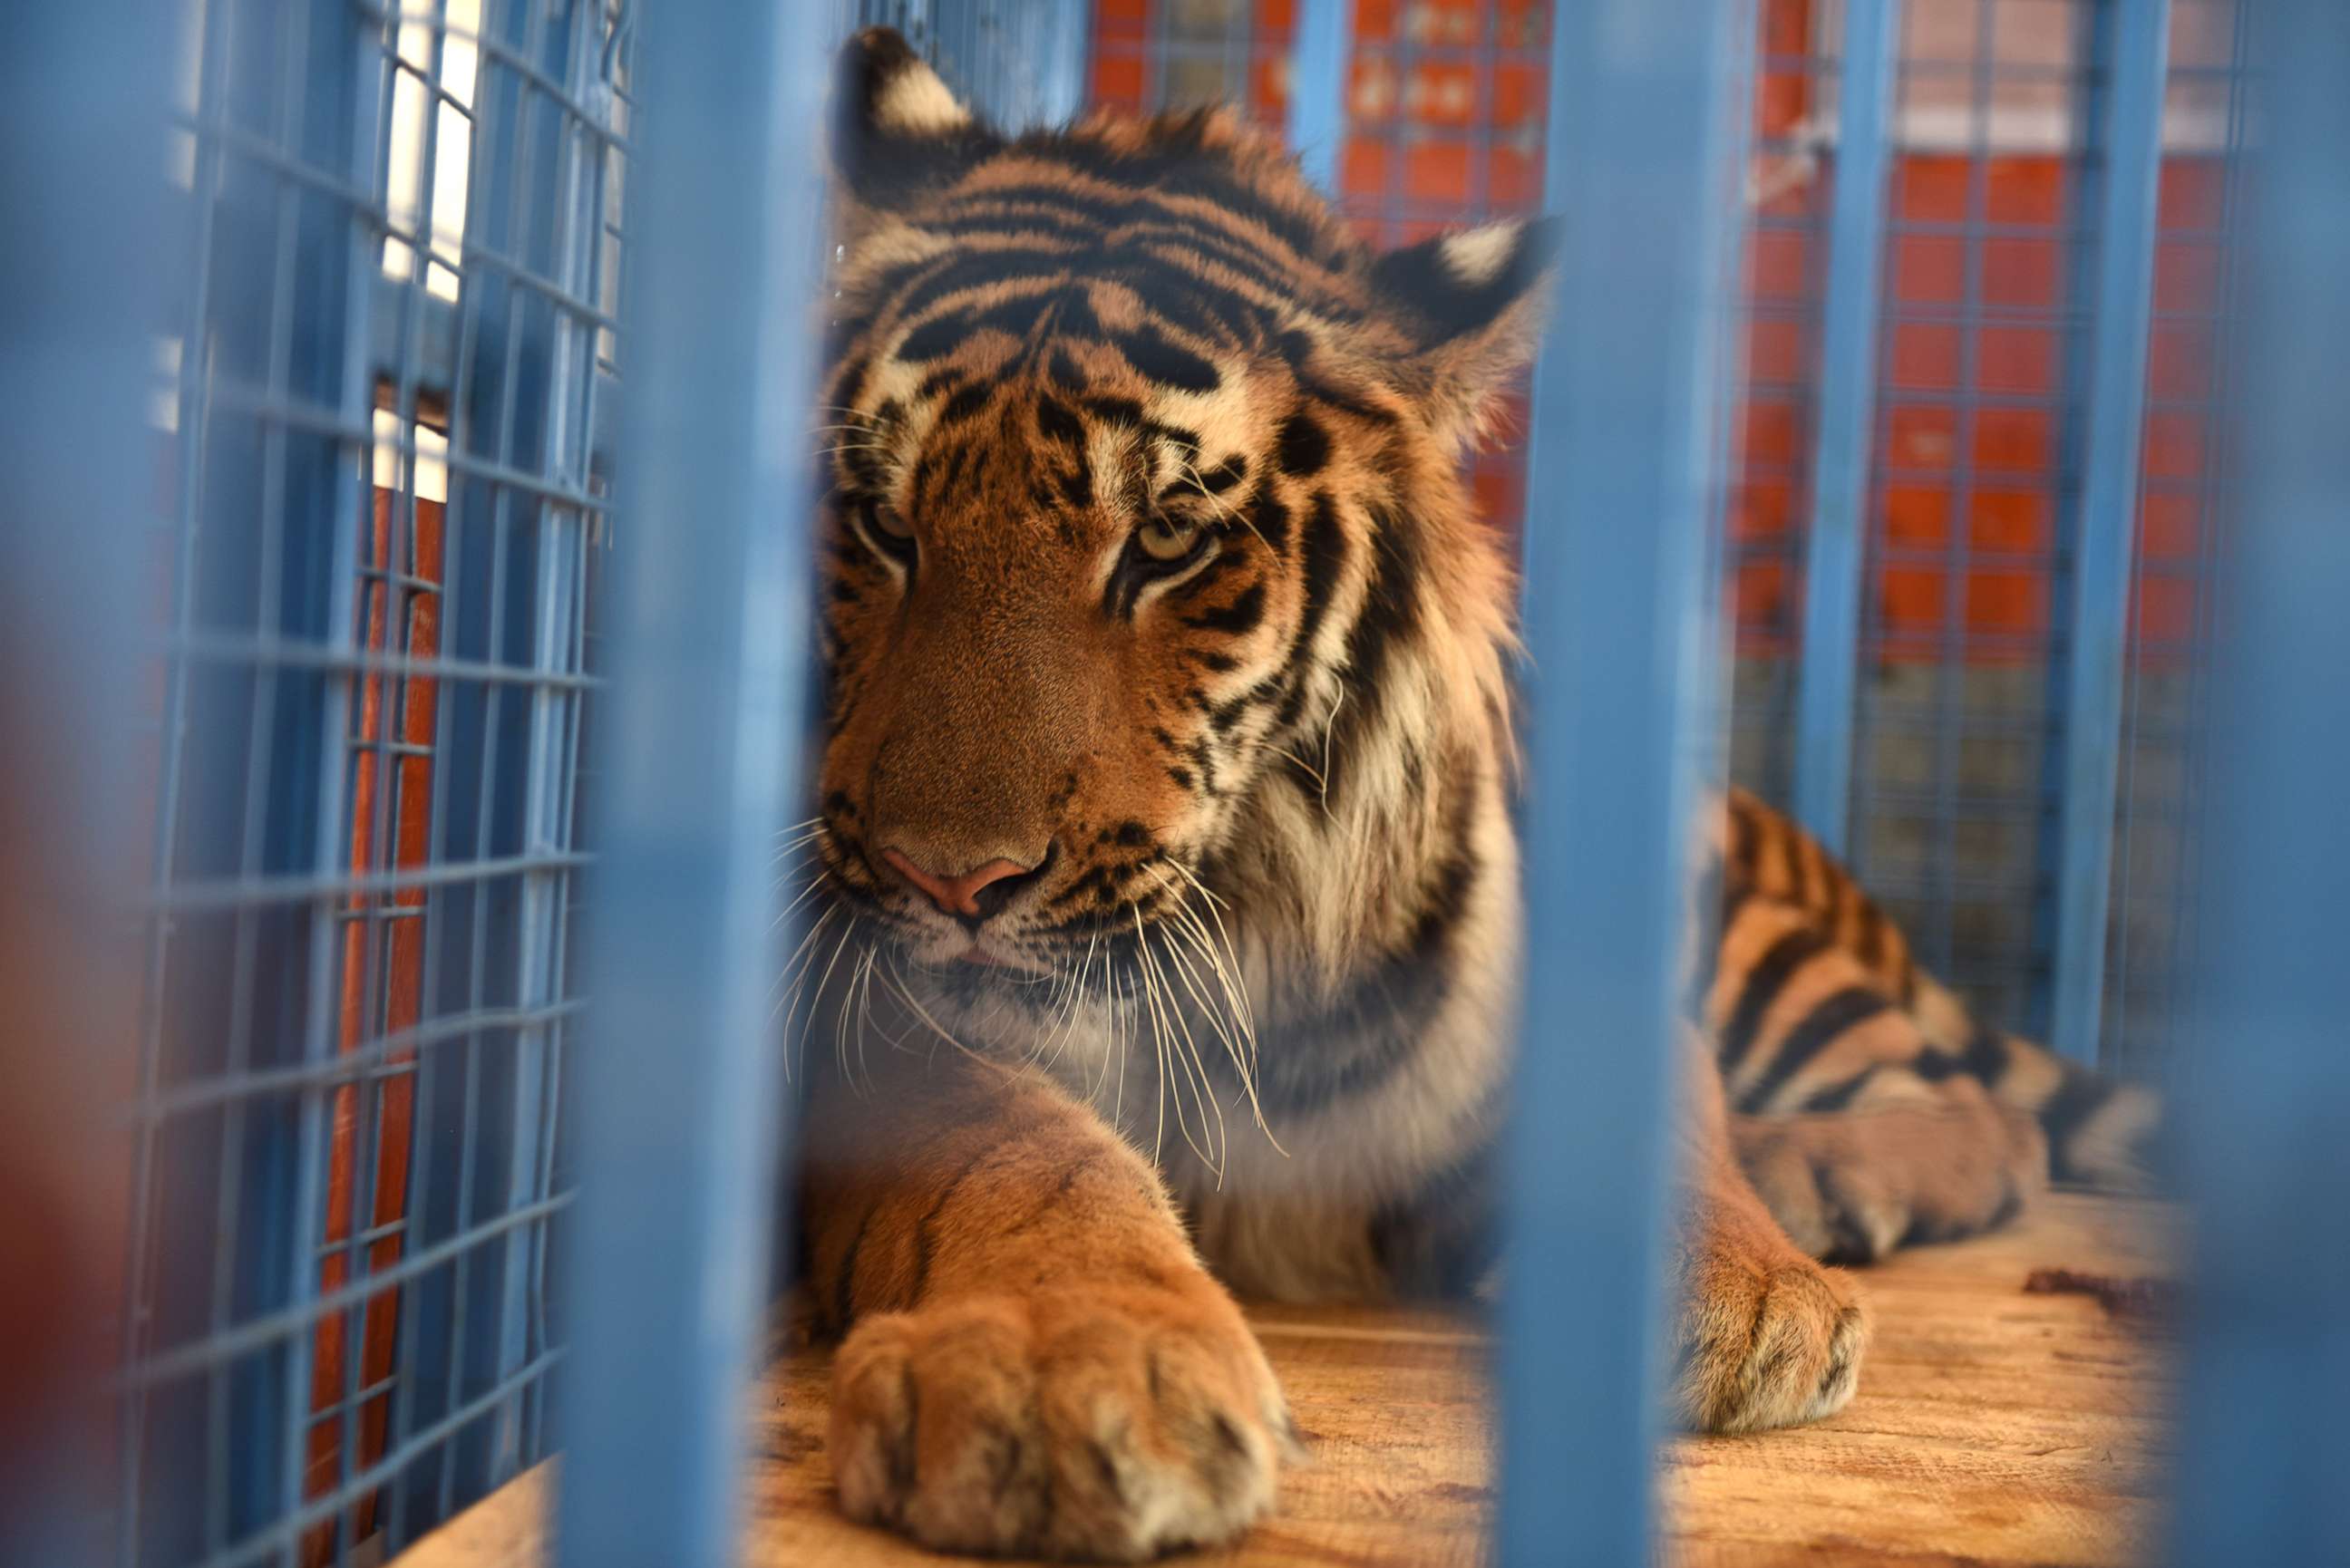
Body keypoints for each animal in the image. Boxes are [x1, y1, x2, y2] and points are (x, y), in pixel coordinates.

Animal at [789, 30, 2161, 1561]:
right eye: (884, 524)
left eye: (1166, 542)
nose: (950, 879)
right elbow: (1013, 1141)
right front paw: (1067, 1367)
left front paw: (1738, 1300)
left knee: (1977, 1110)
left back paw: (1818, 1173)